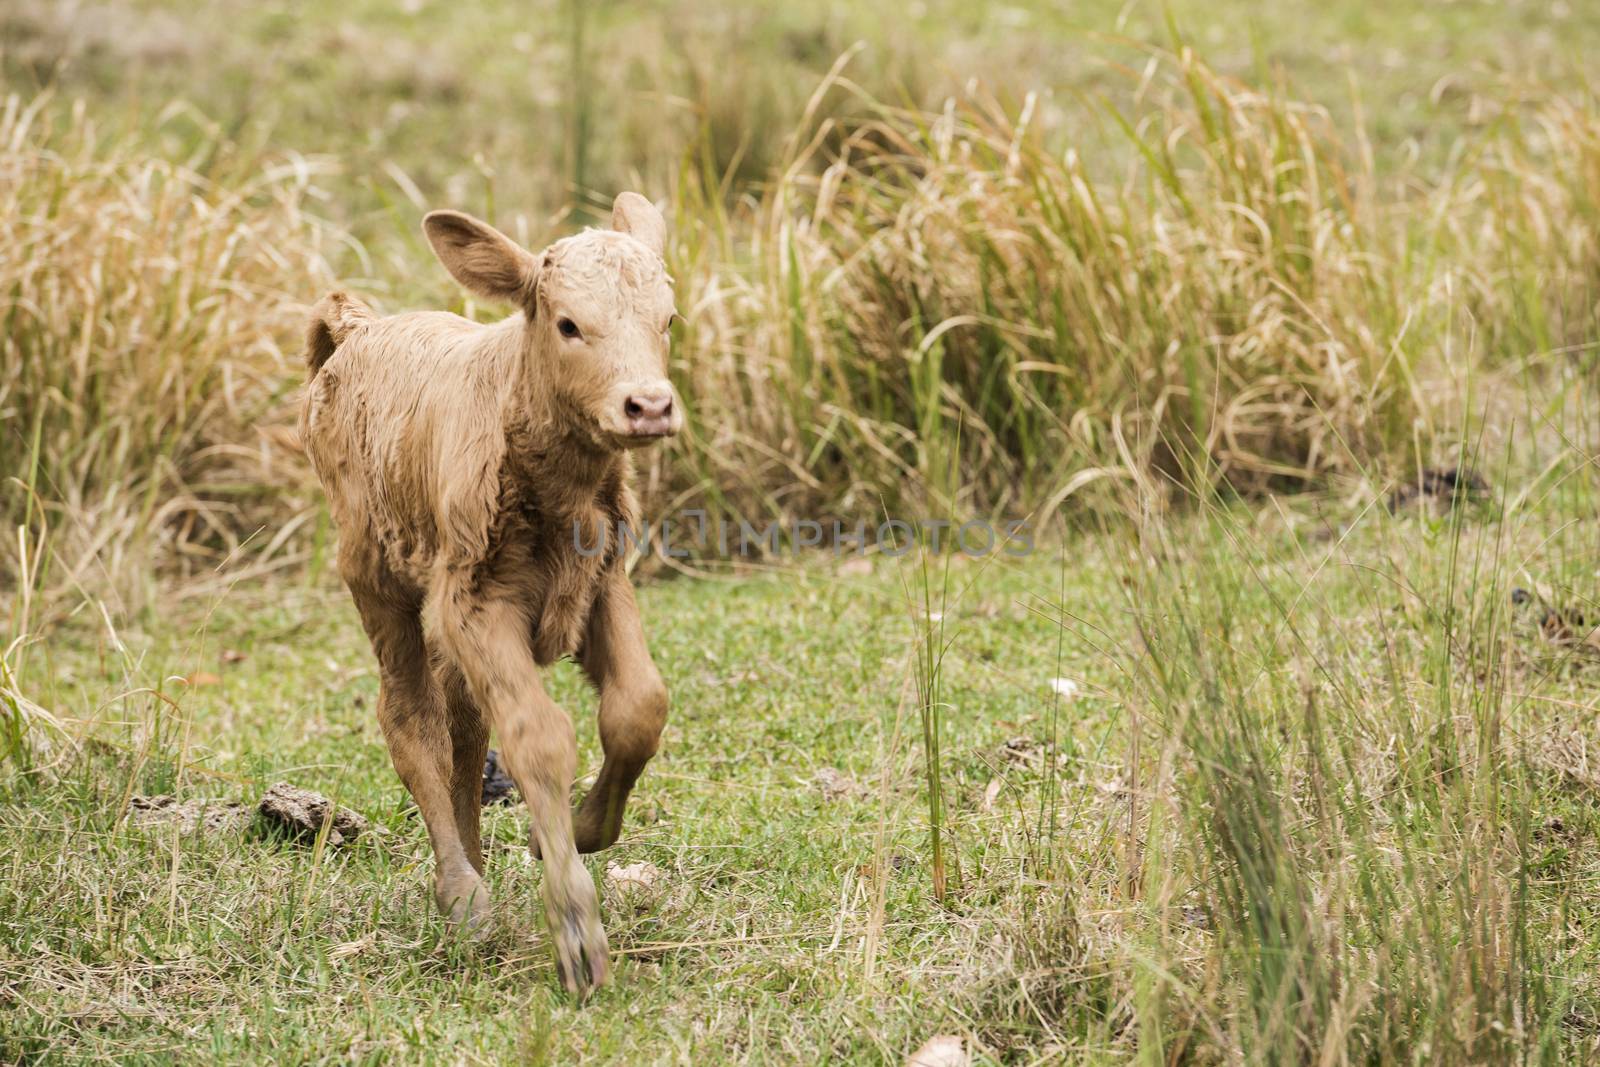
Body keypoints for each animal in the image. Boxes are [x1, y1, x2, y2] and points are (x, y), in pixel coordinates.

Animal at [300, 189, 681, 991]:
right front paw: (576, 930)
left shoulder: (603, 581)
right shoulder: (473, 604)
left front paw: (580, 831)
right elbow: (538, 736)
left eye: (667, 318)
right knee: (411, 721)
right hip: (375, 576)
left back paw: (474, 868)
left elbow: (639, 707)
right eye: (568, 323)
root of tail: (358, 327)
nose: (649, 405)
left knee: (465, 729)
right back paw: (462, 895)